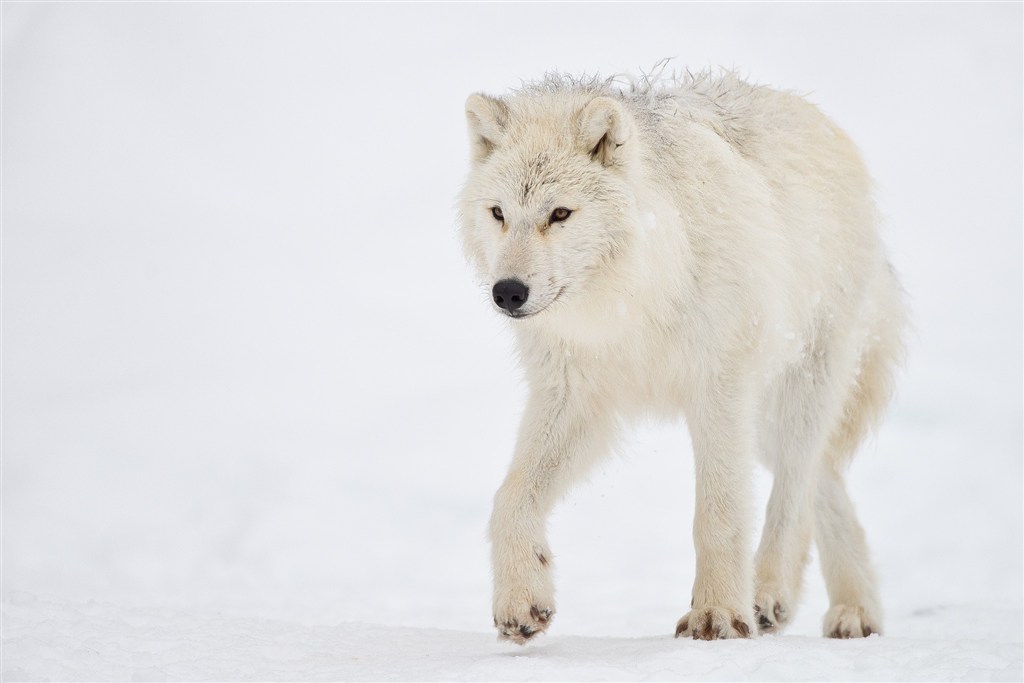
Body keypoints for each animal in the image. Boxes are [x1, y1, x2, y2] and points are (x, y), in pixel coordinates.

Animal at [456, 72, 905, 643]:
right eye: (498, 213)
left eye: (559, 214)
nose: (508, 292)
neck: (634, 298)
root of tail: (822, 121)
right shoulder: (575, 397)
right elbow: (509, 499)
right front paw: (520, 601)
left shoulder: (718, 388)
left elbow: (719, 513)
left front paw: (718, 615)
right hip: (763, 420)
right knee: (823, 482)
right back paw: (853, 610)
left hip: (798, 387)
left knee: (796, 485)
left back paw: (770, 594)